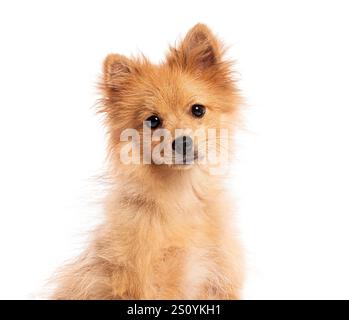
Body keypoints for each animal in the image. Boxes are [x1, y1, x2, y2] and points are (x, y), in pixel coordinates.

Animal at [51, 23, 243, 298]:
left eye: (198, 110)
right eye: (153, 121)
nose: (182, 142)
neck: (180, 198)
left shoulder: (219, 277)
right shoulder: (143, 282)